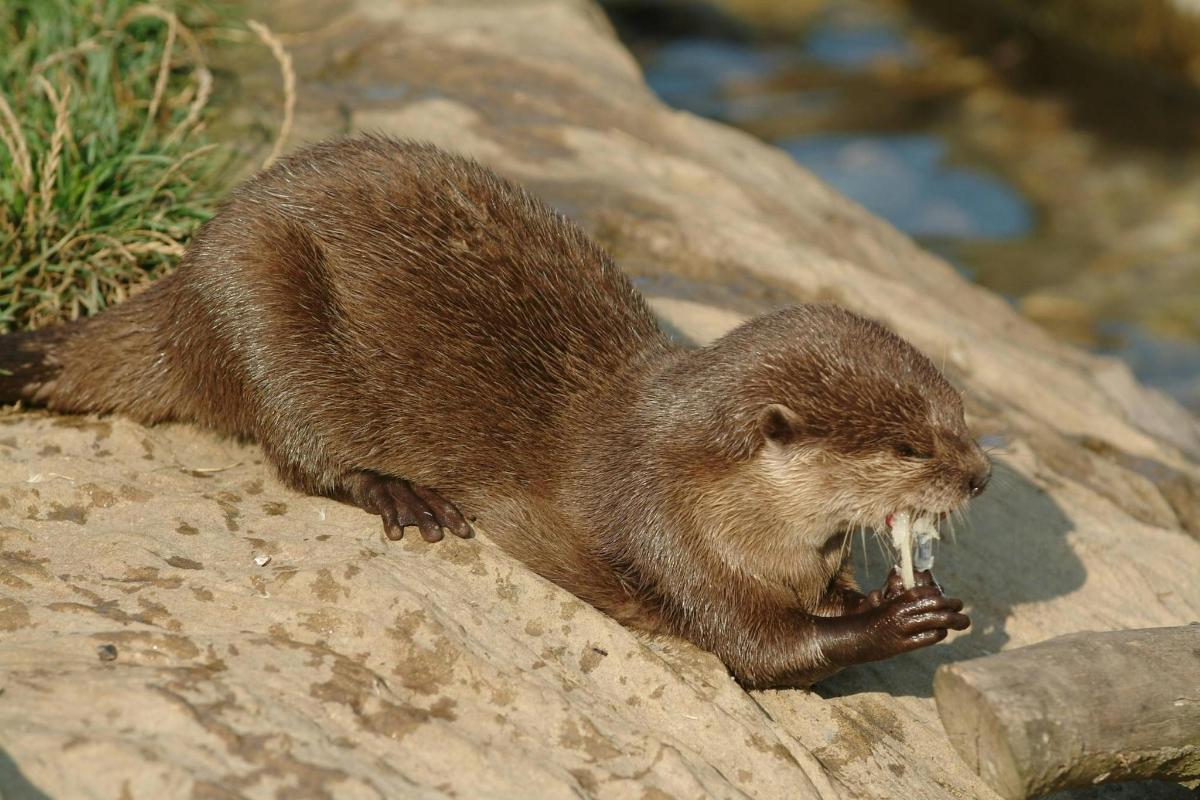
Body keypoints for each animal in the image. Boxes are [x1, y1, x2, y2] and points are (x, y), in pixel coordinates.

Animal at [4, 136, 988, 690]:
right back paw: (401, 494)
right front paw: (893, 621)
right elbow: (759, 650)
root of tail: (184, 278)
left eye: (961, 416)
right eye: (909, 446)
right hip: (259, 303)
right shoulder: (662, 533)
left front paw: (879, 592)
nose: (979, 475)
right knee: (298, 452)